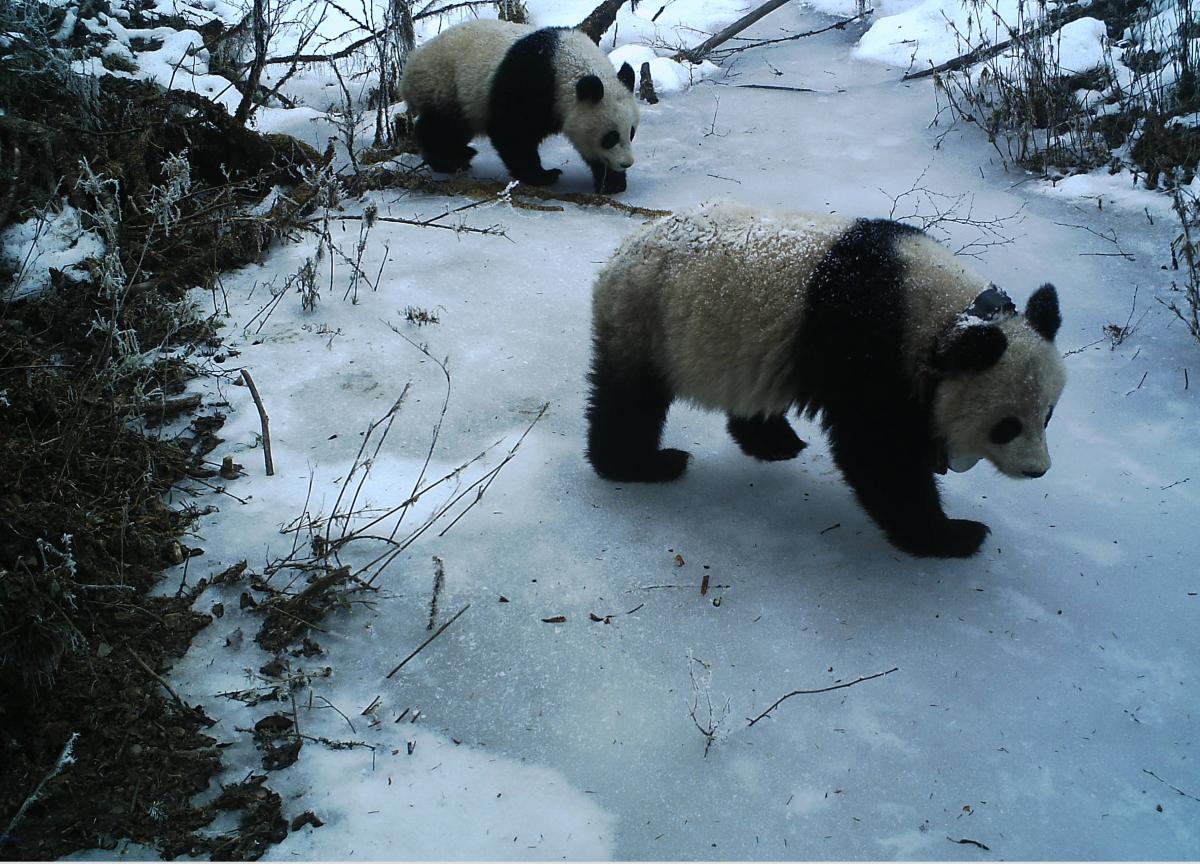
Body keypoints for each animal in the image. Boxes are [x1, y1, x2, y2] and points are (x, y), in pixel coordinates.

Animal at [400, 18, 638, 195]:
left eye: (631, 133)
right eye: (610, 137)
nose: (626, 163)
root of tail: (411, 64)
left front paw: (612, 182)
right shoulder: (530, 82)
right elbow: (513, 132)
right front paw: (543, 176)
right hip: (446, 84)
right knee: (441, 127)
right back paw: (451, 160)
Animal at [585, 199, 1065, 556]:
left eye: (1047, 416)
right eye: (1006, 426)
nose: (1038, 470)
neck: (948, 317)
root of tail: (622, 252)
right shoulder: (866, 346)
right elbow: (877, 452)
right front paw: (953, 535)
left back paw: (774, 441)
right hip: (647, 317)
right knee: (630, 399)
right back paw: (644, 464)